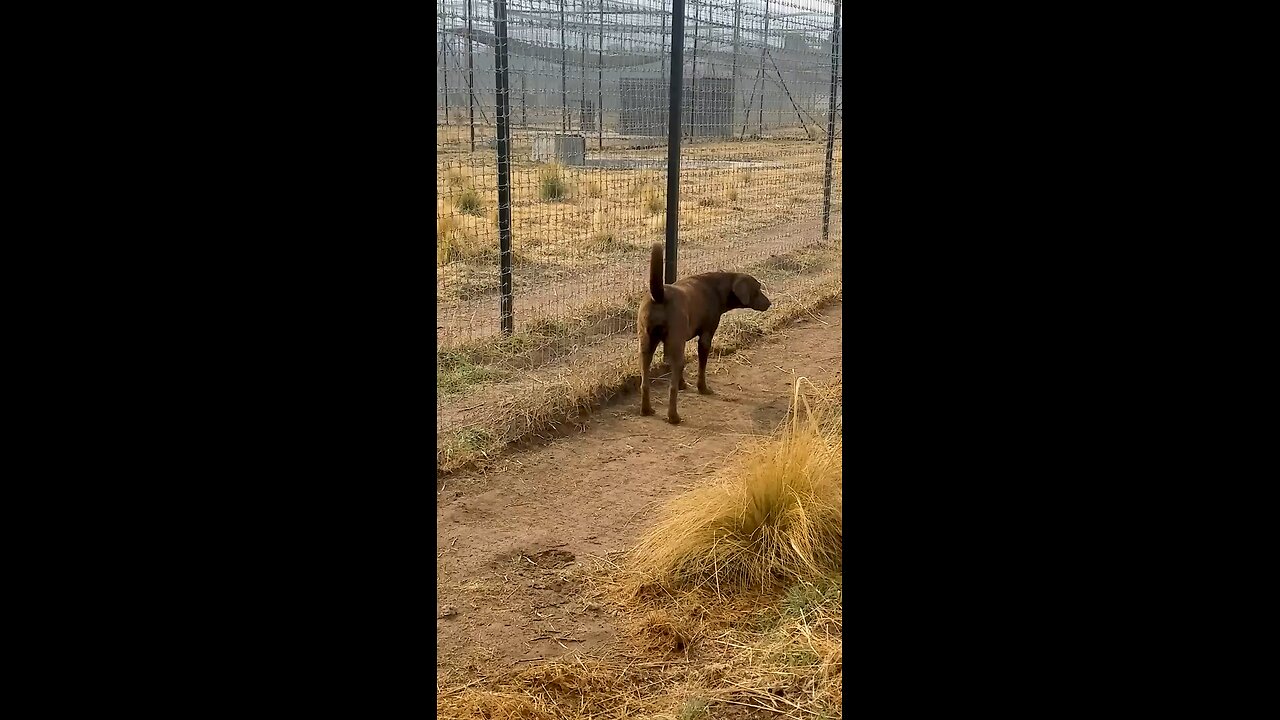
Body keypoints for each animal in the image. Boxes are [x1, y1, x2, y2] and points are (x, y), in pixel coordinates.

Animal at [640, 242, 768, 420]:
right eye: (758, 289)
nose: (769, 303)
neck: (718, 287)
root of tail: (658, 296)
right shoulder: (705, 337)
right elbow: (701, 367)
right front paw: (703, 388)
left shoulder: (681, 343)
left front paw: (683, 384)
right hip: (672, 344)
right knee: (671, 388)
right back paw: (674, 417)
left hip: (646, 346)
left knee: (644, 382)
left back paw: (646, 410)